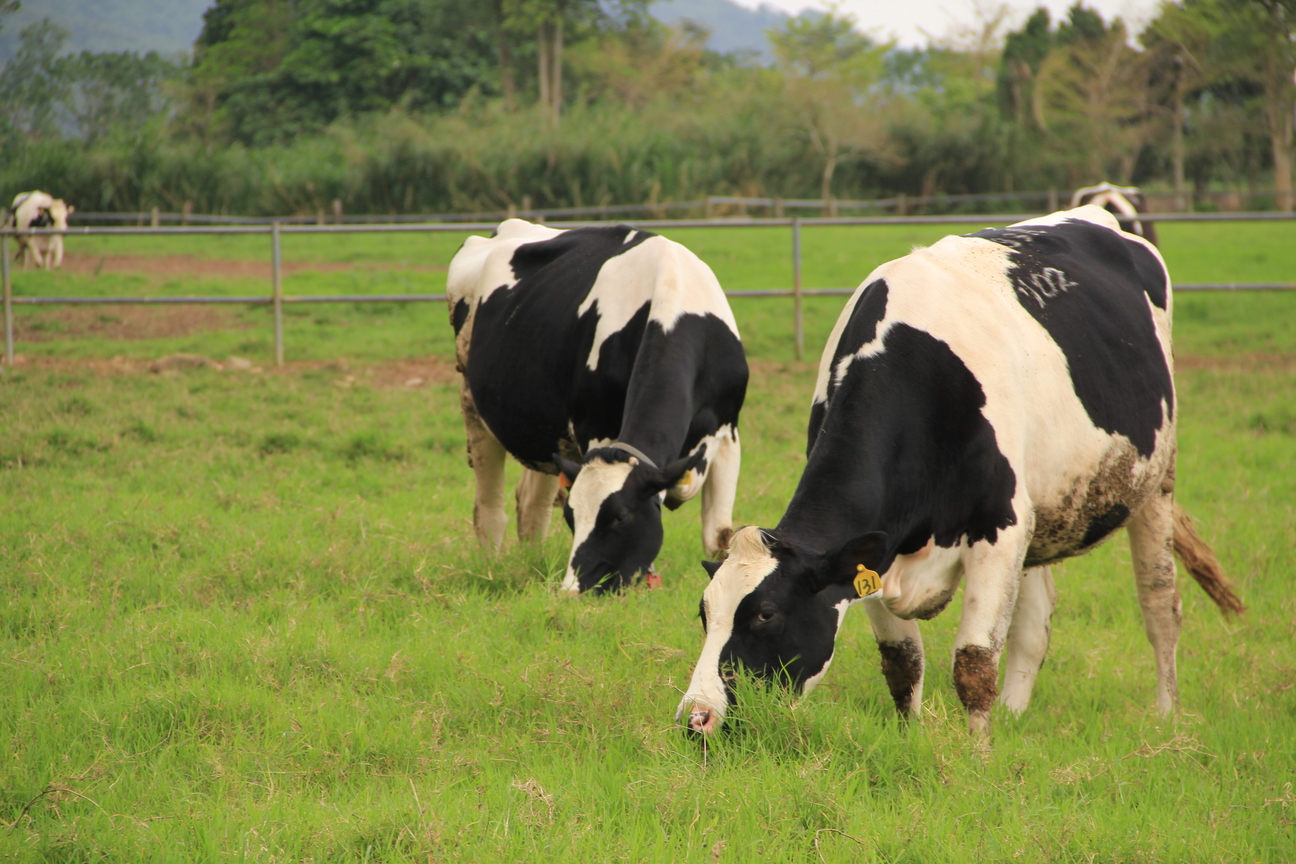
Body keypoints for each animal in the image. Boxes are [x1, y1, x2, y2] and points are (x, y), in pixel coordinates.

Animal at [448, 216, 746, 595]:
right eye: (572, 517)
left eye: (619, 517)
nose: (573, 590)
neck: (672, 304)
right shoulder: (596, 428)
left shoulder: (728, 434)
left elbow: (719, 538)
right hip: (472, 405)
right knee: (489, 510)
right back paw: (493, 568)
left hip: (545, 431)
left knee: (532, 505)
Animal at [673, 205, 1238, 740]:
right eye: (704, 613)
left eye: (765, 613)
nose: (697, 718)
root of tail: (1101, 219)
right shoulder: (879, 551)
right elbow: (902, 663)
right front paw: (911, 739)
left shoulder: (1000, 530)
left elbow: (974, 661)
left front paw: (979, 755)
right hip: (1042, 515)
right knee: (1035, 621)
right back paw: (1014, 713)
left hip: (1155, 481)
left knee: (1160, 603)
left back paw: (1166, 715)